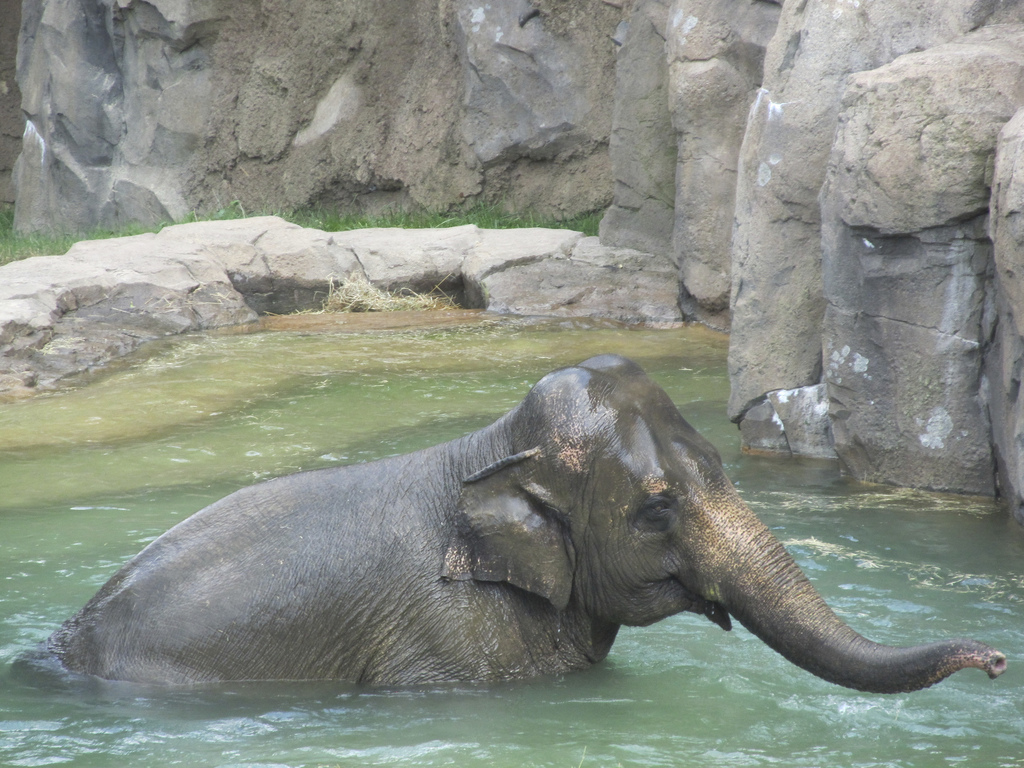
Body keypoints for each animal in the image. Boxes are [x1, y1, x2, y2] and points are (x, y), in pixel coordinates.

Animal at [39, 355, 1005, 691]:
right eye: (658, 507)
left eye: (725, 466)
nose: (998, 661)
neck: (492, 449)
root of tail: (58, 645)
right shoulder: (452, 639)